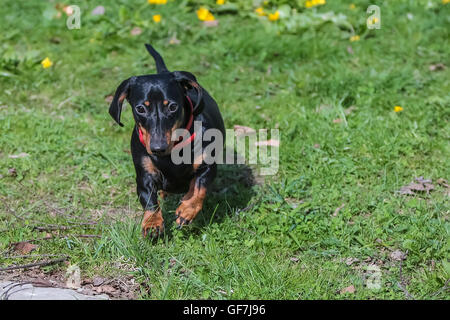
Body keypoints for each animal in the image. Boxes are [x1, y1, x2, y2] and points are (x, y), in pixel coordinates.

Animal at [107, 43, 223, 238]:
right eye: (140, 108)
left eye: (173, 106)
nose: (157, 148)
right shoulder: (144, 176)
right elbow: (149, 201)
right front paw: (152, 224)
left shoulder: (207, 166)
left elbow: (199, 189)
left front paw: (186, 210)